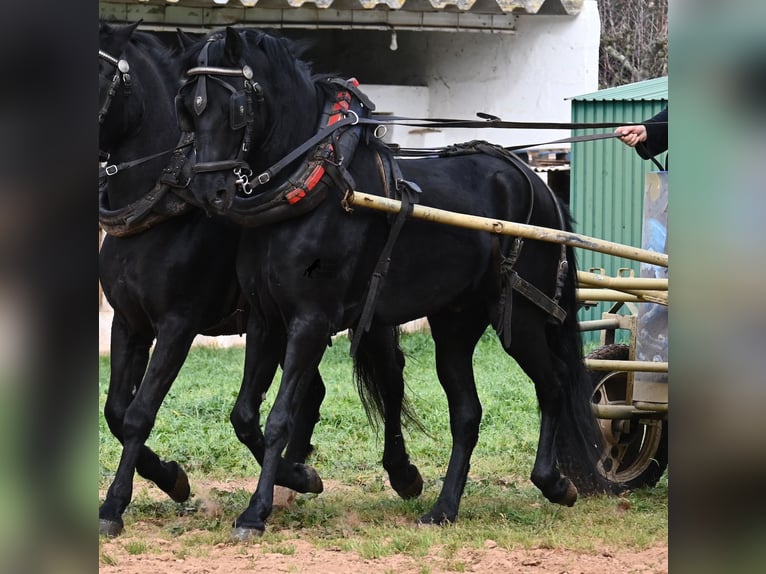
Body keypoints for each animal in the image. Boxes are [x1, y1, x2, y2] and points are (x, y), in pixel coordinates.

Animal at [175, 27, 611, 538]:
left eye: (235, 108)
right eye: (187, 106)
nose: (209, 191)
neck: (314, 184)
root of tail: (536, 182)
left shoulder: (310, 321)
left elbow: (281, 416)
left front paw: (256, 510)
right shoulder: (266, 320)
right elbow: (244, 414)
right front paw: (299, 475)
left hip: (519, 316)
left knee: (554, 383)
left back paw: (553, 482)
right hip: (455, 323)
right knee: (468, 413)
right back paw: (444, 507)